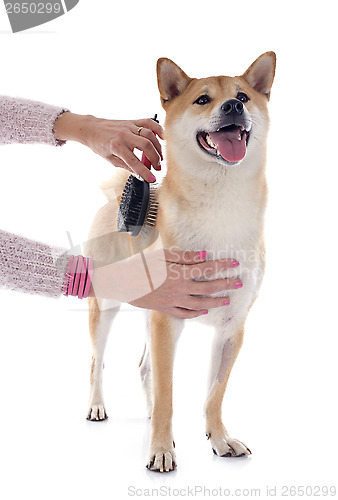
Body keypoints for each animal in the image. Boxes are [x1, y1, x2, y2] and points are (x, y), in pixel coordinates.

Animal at [84, 51, 274, 472]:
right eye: (202, 99)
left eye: (243, 95)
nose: (233, 105)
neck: (221, 204)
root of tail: (114, 198)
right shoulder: (166, 321)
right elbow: (168, 393)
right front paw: (161, 449)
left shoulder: (232, 328)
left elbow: (214, 395)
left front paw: (220, 439)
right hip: (105, 307)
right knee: (97, 362)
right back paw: (97, 406)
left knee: (143, 368)